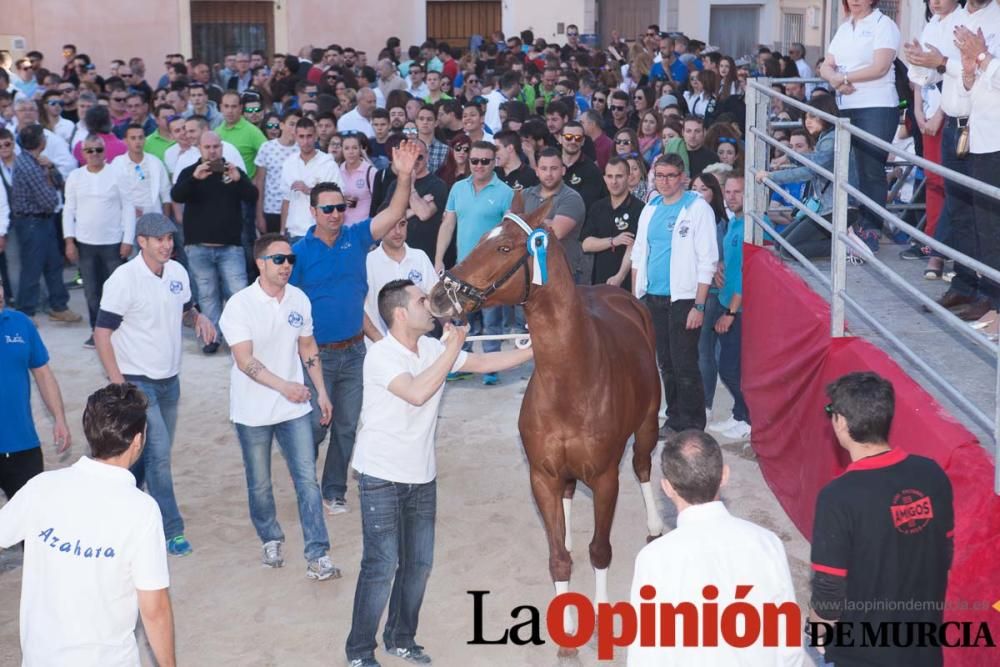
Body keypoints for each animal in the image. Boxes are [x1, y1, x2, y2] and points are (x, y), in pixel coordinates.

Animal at [428, 200, 664, 636]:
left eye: (504, 247)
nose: (437, 296)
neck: (572, 378)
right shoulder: (541, 475)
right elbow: (558, 558)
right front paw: (566, 618)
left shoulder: (605, 479)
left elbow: (600, 550)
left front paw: (599, 610)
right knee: (569, 496)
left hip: (648, 426)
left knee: (642, 467)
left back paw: (655, 524)